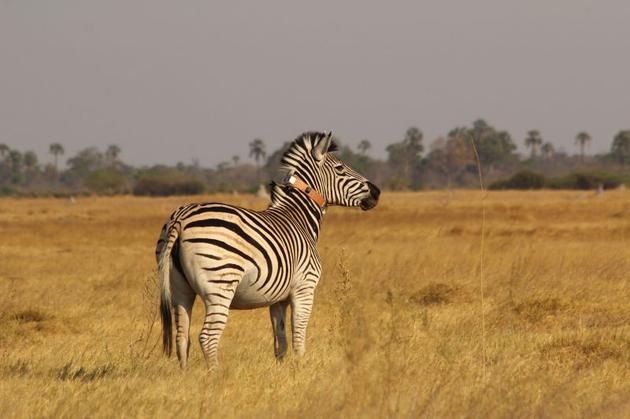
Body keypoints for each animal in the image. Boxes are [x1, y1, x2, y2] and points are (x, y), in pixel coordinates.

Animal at [156, 130, 382, 368]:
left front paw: (282, 370)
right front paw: (300, 369)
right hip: (220, 284)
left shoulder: (278, 299)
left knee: (182, 337)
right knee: (207, 337)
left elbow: (280, 341)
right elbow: (298, 336)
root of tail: (181, 218)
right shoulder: (305, 287)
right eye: (340, 168)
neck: (299, 217)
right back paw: (214, 375)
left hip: (180, 288)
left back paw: (186, 375)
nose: (377, 192)